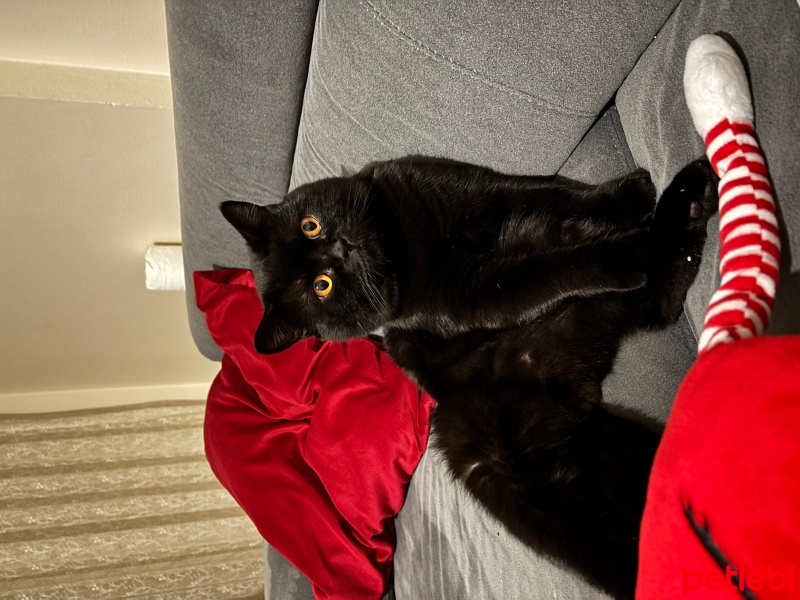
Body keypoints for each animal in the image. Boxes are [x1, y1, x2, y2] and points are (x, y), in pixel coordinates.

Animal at [220, 157, 720, 596]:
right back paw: (665, 225)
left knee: (664, 297)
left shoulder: (482, 190)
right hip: (533, 484)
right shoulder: (475, 293)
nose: (341, 248)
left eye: (311, 225)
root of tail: (575, 399)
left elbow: (555, 191)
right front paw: (626, 251)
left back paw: (687, 196)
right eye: (321, 287)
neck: (400, 243)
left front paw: (631, 191)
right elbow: (550, 268)